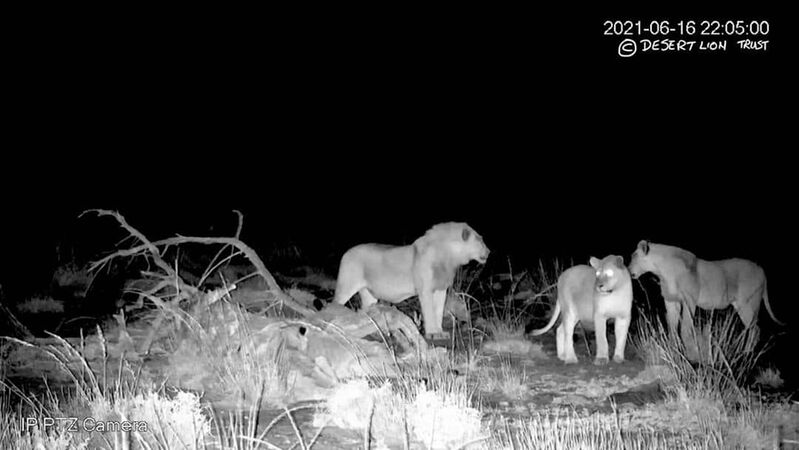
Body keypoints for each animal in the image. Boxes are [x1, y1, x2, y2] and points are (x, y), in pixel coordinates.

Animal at [330, 221, 488, 338]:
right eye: (479, 240)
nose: (489, 251)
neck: (449, 257)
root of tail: (346, 252)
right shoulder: (425, 290)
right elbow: (430, 312)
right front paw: (432, 333)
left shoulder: (440, 289)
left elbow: (438, 311)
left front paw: (440, 332)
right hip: (346, 286)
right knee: (335, 303)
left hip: (368, 294)